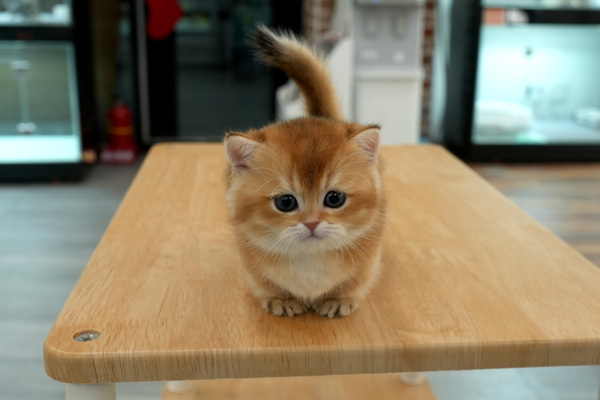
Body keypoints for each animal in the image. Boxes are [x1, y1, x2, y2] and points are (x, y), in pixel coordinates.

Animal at [223, 25, 386, 318]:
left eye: (334, 198)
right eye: (285, 202)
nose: (311, 223)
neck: (309, 259)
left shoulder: (368, 260)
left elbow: (355, 283)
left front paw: (338, 299)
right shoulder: (251, 262)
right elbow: (265, 283)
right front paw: (281, 299)